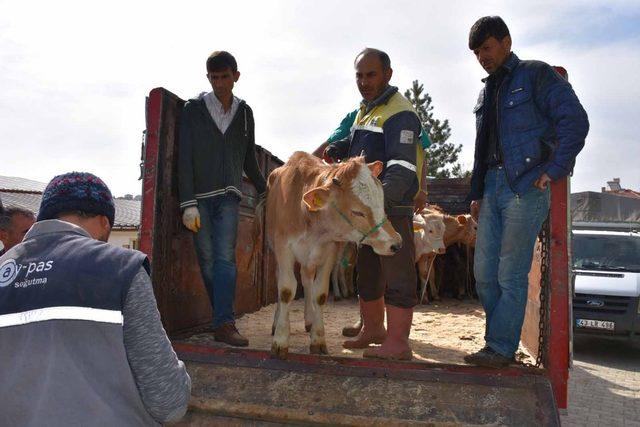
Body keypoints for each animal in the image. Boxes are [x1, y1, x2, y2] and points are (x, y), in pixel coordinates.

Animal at [268, 152, 402, 360]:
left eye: (381, 202)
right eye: (357, 212)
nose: (395, 242)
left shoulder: (329, 251)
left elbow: (320, 294)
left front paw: (318, 339)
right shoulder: (283, 249)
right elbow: (286, 290)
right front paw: (280, 340)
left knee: (307, 281)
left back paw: (309, 319)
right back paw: (277, 322)